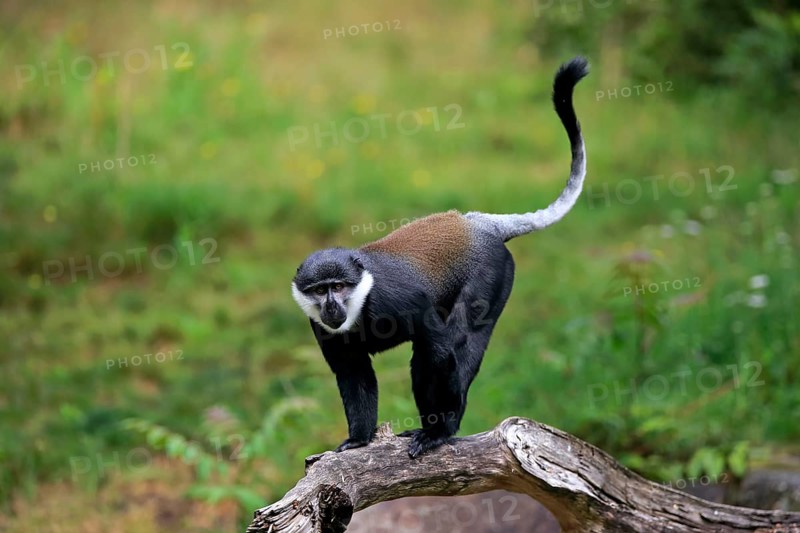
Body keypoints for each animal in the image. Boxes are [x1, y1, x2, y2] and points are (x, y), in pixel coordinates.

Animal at [291, 57, 589, 458]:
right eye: (319, 290)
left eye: (338, 286)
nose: (332, 306)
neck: (361, 301)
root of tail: (479, 224)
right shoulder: (323, 330)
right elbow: (354, 374)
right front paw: (358, 439)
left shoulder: (402, 300)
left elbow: (438, 352)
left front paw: (437, 432)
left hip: (492, 277)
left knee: (456, 343)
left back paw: (440, 429)